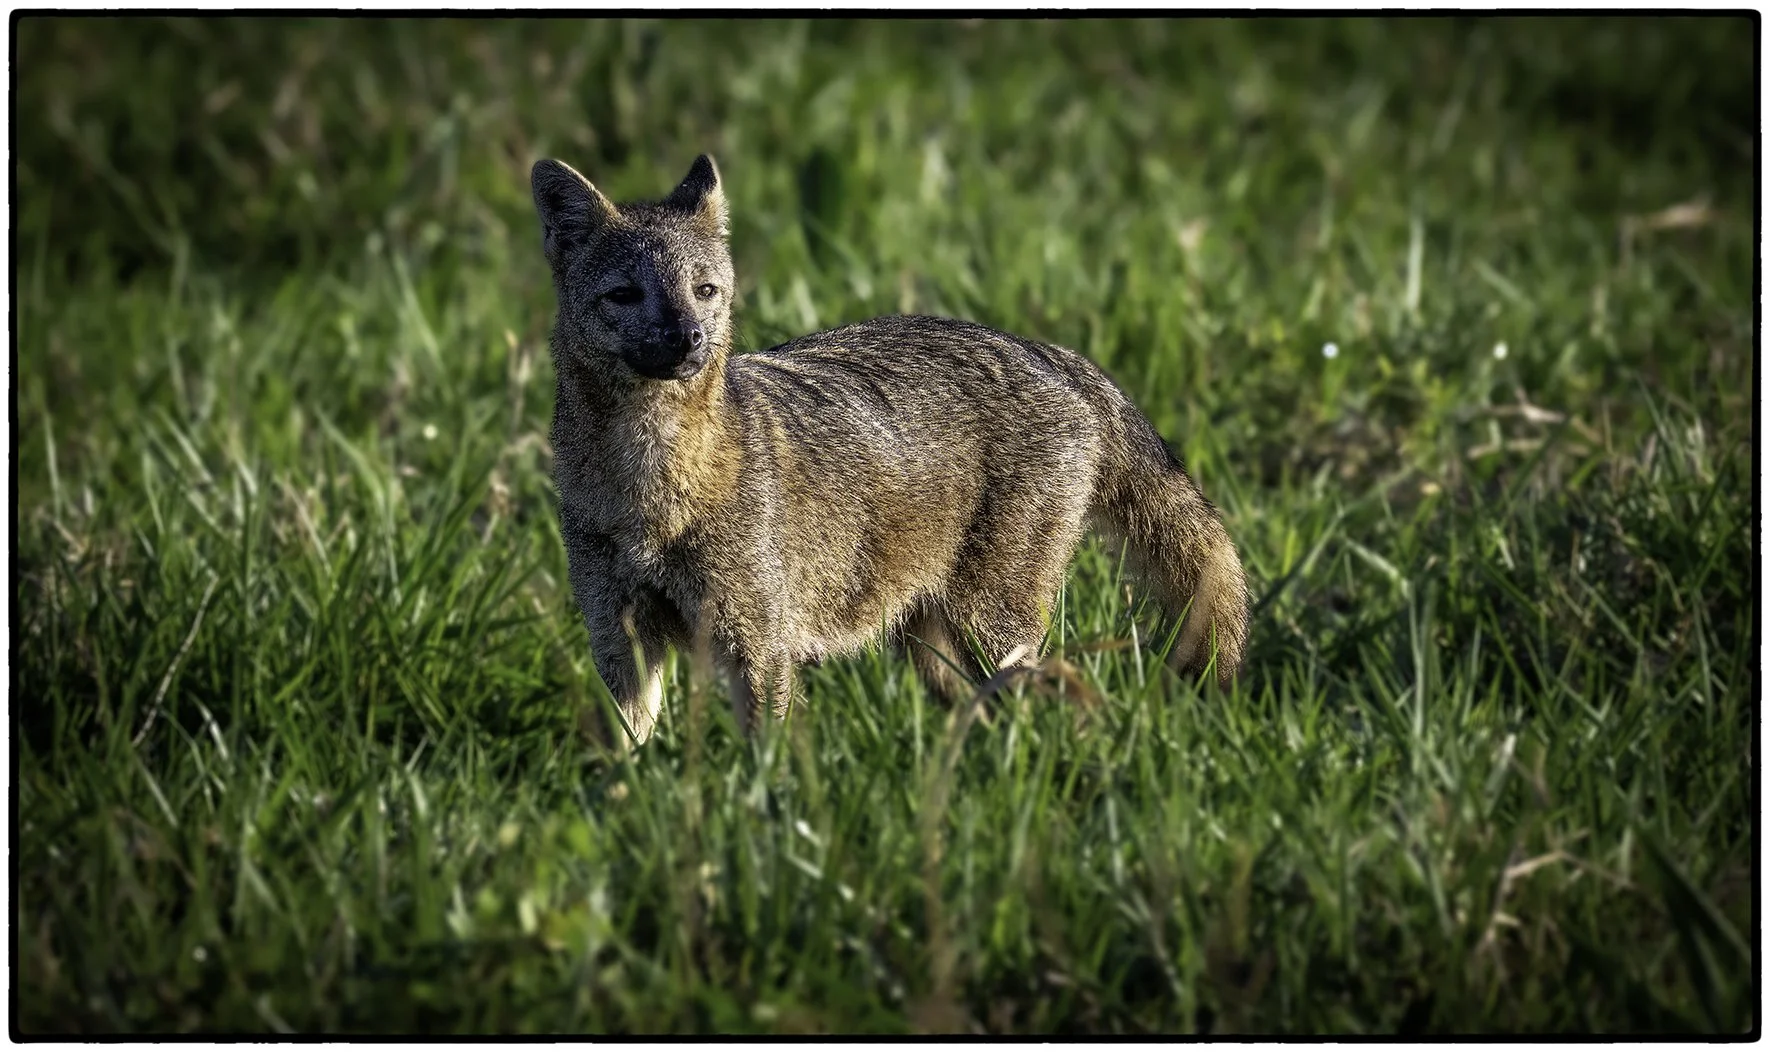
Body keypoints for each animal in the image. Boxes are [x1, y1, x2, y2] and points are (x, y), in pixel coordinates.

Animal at [532, 153, 1249, 744]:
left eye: (704, 291)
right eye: (626, 294)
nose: (689, 339)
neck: (649, 489)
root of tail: (1048, 352)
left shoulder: (758, 644)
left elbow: (764, 768)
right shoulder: (621, 643)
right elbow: (626, 758)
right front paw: (621, 806)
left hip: (990, 627)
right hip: (931, 646)